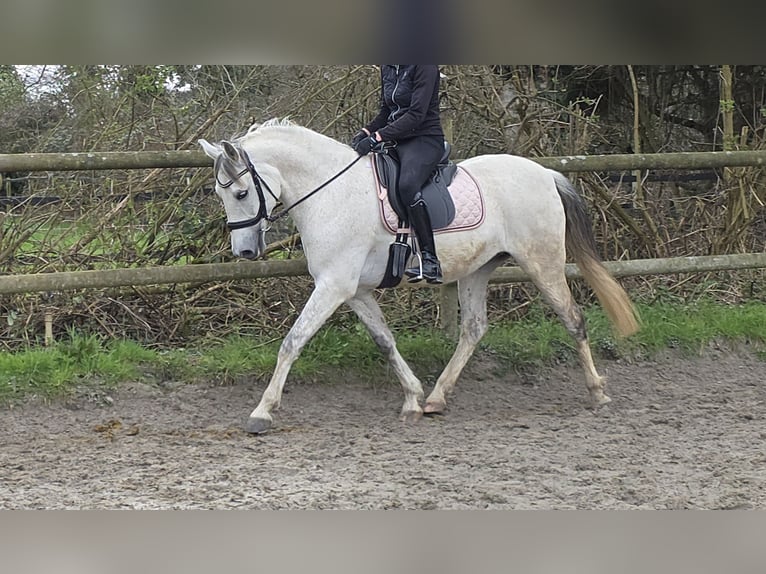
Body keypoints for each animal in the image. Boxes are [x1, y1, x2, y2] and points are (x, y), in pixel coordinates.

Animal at [199, 118, 639, 434]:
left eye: (240, 193)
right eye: (221, 194)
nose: (244, 253)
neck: (331, 193)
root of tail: (546, 173)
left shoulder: (333, 286)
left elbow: (293, 341)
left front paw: (262, 412)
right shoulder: (354, 290)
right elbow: (385, 341)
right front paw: (412, 398)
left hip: (541, 262)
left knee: (573, 319)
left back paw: (598, 394)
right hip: (478, 269)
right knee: (474, 328)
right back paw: (436, 398)